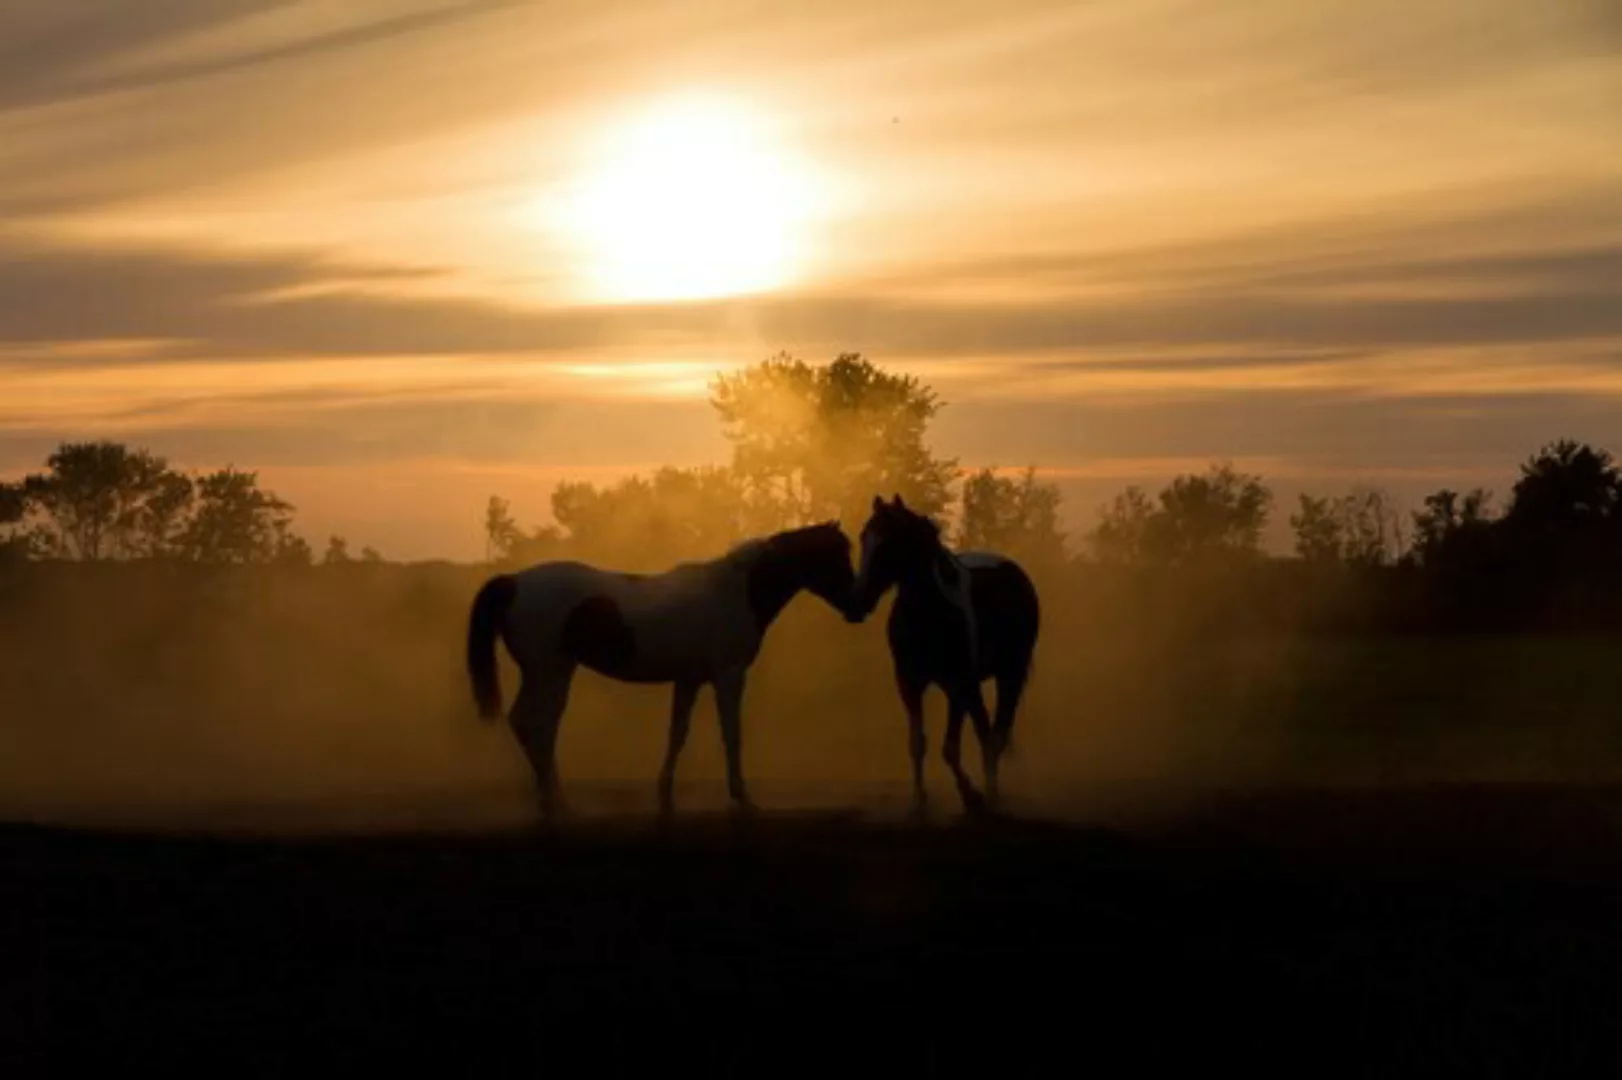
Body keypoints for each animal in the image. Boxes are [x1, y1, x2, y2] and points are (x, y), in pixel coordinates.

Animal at [463, 522, 856, 817]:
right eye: (837, 556)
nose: (856, 606)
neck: (736, 591)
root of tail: (513, 582)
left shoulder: (689, 679)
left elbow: (677, 734)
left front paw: (665, 794)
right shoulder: (729, 676)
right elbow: (732, 733)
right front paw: (742, 797)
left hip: (550, 673)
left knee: (537, 725)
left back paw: (553, 797)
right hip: (549, 672)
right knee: (535, 724)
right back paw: (554, 801)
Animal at [843, 492, 1044, 810]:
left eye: (888, 542)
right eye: (864, 537)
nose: (856, 602)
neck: (930, 612)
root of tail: (1015, 572)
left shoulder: (958, 684)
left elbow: (950, 748)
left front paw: (972, 795)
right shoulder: (909, 683)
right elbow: (917, 743)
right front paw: (920, 798)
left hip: (1009, 673)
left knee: (995, 734)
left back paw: (992, 793)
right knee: (986, 730)